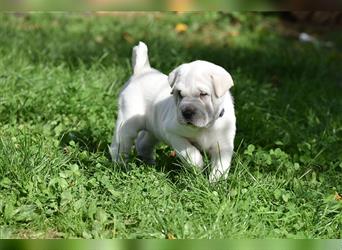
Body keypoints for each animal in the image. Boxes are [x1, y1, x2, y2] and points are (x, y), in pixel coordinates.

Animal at [109, 41, 235, 182]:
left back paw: (150, 164)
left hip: (153, 128)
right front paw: (198, 166)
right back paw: (120, 166)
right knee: (120, 145)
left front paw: (215, 183)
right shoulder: (174, 134)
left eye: (203, 94)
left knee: (142, 143)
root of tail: (141, 71)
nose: (187, 112)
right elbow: (190, 152)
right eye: (179, 93)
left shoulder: (223, 146)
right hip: (127, 123)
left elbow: (221, 166)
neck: (205, 127)